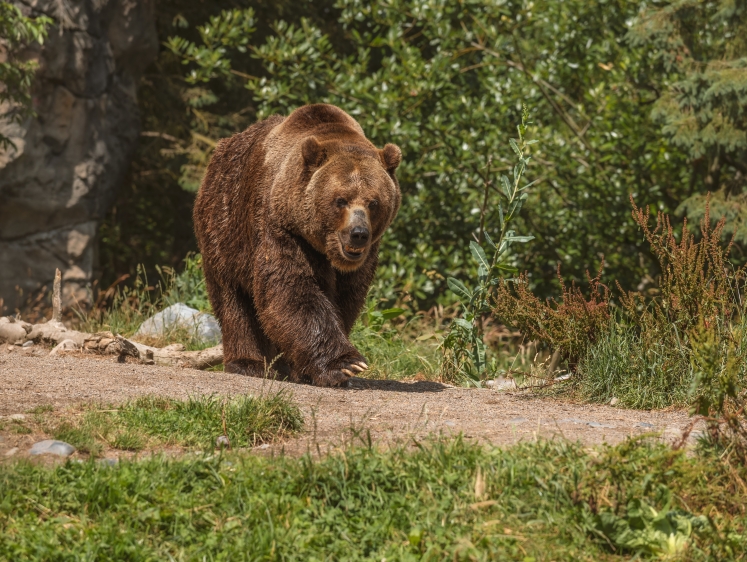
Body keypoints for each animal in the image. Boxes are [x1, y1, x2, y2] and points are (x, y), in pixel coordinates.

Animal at [194, 104, 404, 384]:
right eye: (340, 200)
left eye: (374, 202)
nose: (358, 233)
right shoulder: (282, 228)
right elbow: (291, 289)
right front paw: (345, 364)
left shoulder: (362, 259)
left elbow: (346, 299)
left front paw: (307, 369)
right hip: (224, 225)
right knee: (232, 299)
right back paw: (248, 363)